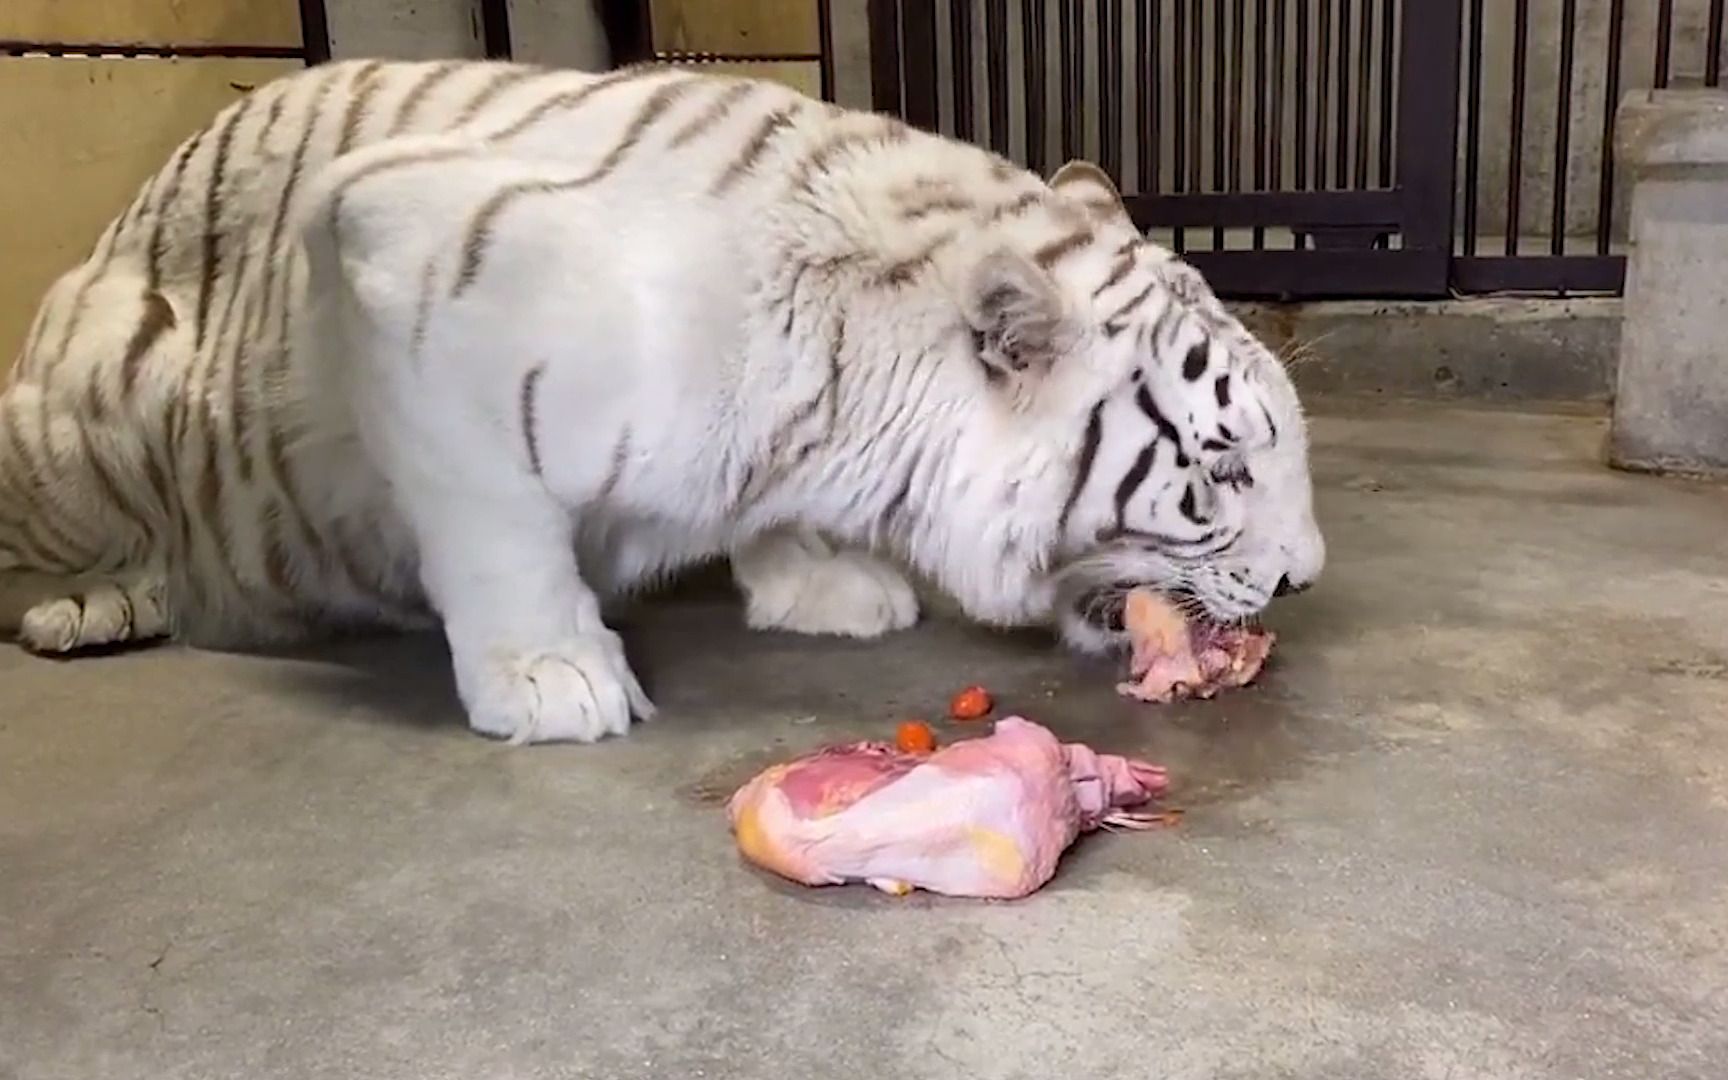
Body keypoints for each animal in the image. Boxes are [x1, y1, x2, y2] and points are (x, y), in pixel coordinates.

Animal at [3, 60, 1320, 739]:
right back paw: (91, 604)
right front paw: (552, 677)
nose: (1305, 578)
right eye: (1221, 470)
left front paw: (820, 583)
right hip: (91, 392)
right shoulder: (410, 257)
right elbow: (496, 519)